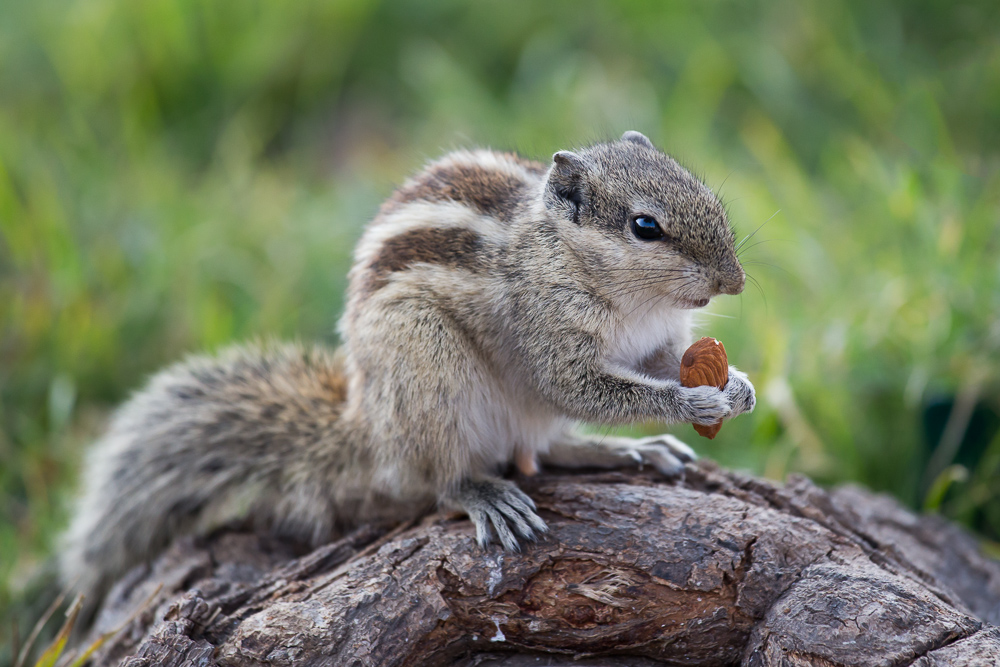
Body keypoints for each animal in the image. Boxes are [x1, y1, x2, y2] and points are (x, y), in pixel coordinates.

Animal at [58, 130, 752, 616]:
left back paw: (627, 453)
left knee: (541, 451)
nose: (735, 282)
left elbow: (658, 369)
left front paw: (735, 386)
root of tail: (370, 433)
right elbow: (585, 388)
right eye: (645, 226)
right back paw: (484, 494)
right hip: (426, 363)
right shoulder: (547, 334)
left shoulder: (658, 342)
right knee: (441, 478)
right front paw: (691, 405)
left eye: (706, 193)